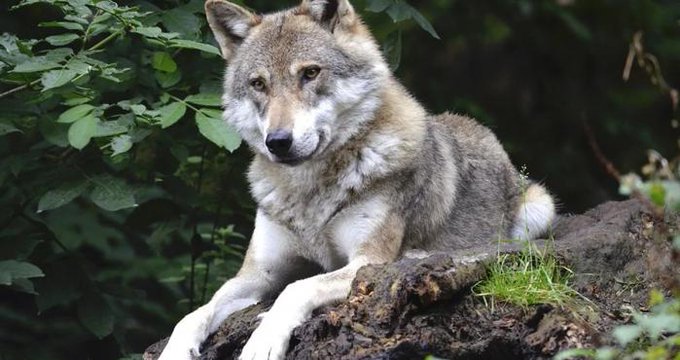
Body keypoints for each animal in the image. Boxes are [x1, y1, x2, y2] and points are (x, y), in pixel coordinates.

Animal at [161, 0, 556, 360]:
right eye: (258, 84)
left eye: (310, 73)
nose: (278, 141)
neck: (309, 192)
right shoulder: (257, 274)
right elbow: (194, 313)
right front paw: (176, 349)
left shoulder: (366, 262)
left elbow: (297, 288)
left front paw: (263, 340)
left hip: (539, 208)